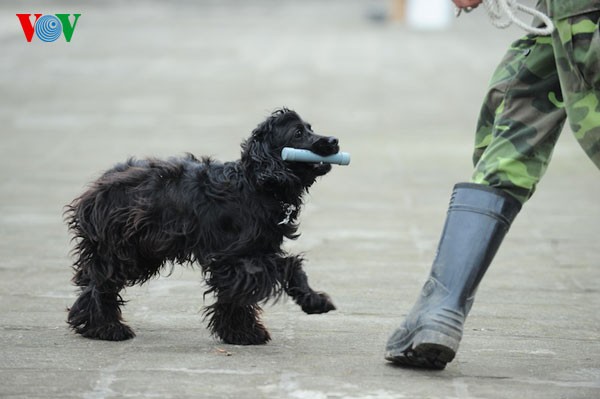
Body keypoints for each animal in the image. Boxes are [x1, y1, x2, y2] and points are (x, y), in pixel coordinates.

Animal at [67, 110, 338, 346]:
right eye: (298, 133)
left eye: (310, 128)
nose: (334, 140)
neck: (256, 185)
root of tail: (98, 187)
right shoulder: (236, 257)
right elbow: (289, 265)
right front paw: (315, 301)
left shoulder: (242, 259)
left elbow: (233, 296)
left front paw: (241, 333)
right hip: (123, 250)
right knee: (101, 283)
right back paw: (105, 328)